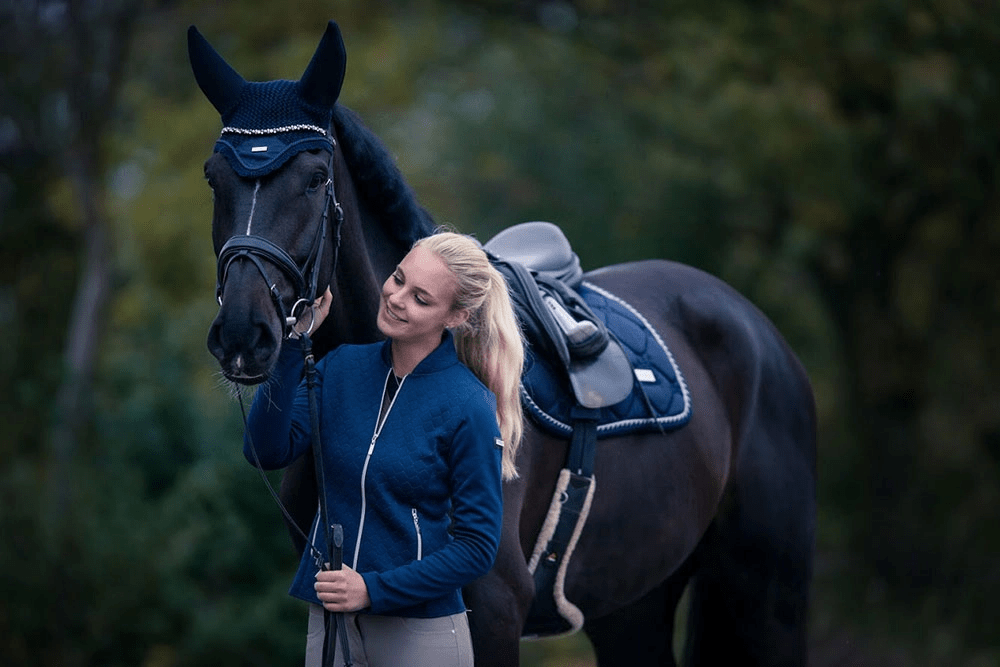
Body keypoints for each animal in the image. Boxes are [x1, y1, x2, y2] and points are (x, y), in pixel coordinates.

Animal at [188, 20, 812, 667]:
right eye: (214, 177)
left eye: (314, 179)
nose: (242, 334)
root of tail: (755, 327)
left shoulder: (493, 609)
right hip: (633, 603)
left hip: (767, 595)